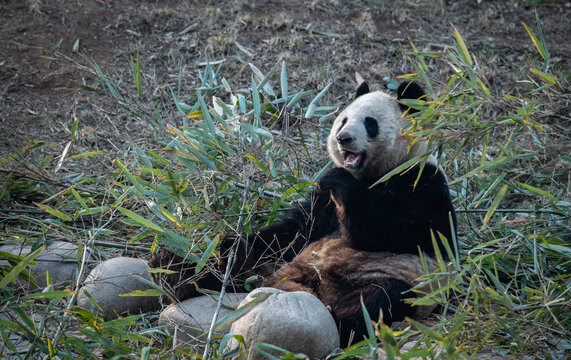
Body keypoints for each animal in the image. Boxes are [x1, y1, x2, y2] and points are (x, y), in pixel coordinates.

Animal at [150, 79, 458, 346]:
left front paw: (341, 182)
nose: (343, 138)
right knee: (235, 263)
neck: (373, 175)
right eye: (343, 120)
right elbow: (294, 231)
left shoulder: (423, 182)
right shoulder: (321, 204)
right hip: (273, 266)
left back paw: (336, 321)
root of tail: (304, 287)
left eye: (370, 123)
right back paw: (173, 272)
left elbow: (403, 231)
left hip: (397, 284)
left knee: (381, 298)